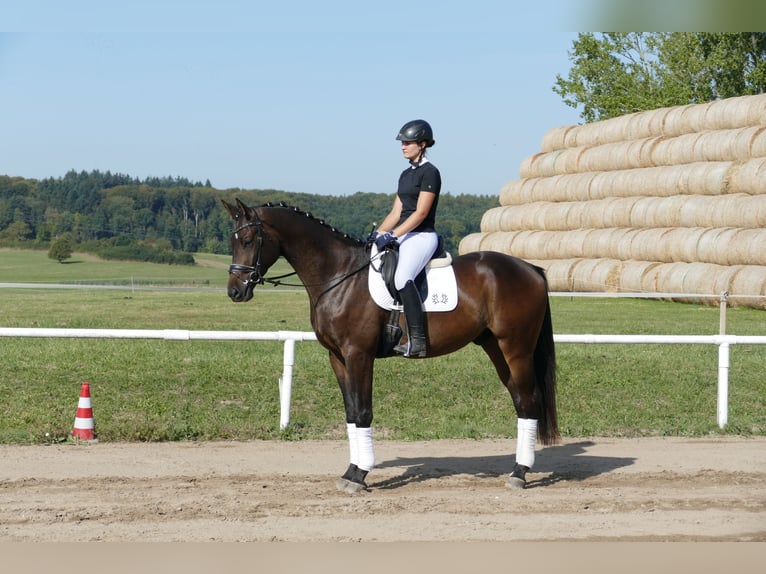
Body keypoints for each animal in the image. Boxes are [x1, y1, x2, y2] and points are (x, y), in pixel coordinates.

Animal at [222, 200, 560, 492]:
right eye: (233, 241)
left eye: (249, 240)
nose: (235, 292)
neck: (339, 275)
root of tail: (531, 269)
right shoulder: (337, 357)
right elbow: (350, 412)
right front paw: (350, 471)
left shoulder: (359, 354)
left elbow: (363, 412)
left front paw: (359, 476)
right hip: (496, 348)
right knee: (520, 401)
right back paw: (518, 469)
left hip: (516, 349)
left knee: (529, 400)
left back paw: (519, 474)